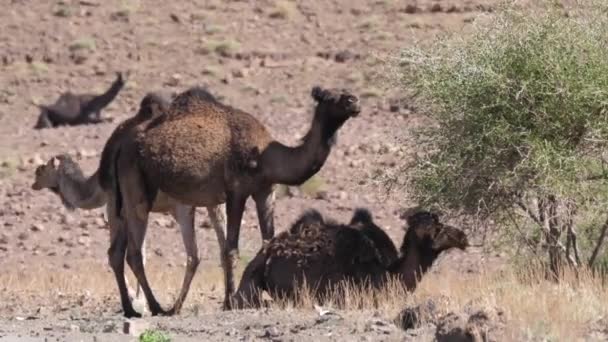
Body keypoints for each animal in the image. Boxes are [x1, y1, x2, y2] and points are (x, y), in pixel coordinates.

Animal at [112, 85, 360, 316]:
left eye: (346, 93)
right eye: (328, 97)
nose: (354, 101)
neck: (266, 156)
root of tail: (121, 147)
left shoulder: (265, 190)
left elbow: (268, 241)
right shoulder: (236, 190)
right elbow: (230, 250)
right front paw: (230, 302)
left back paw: (132, 308)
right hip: (135, 185)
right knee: (134, 253)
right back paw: (155, 307)